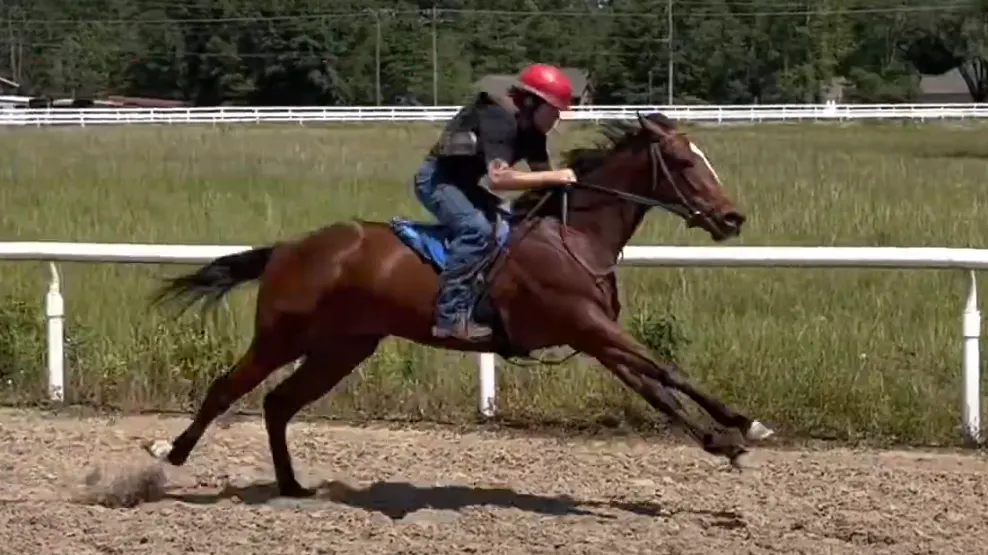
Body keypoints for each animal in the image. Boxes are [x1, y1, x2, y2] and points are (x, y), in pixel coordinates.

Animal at [143, 112, 776, 496]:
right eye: (687, 164)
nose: (732, 218)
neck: (574, 236)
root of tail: (290, 247)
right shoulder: (584, 322)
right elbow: (665, 370)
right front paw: (743, 424)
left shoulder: (592, 334)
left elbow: (657, 387)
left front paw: (725, 439)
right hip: (282, 334)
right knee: (226, 389)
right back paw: (169, 453)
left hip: (343, 348)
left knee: (278, 405)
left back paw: (293, 486)